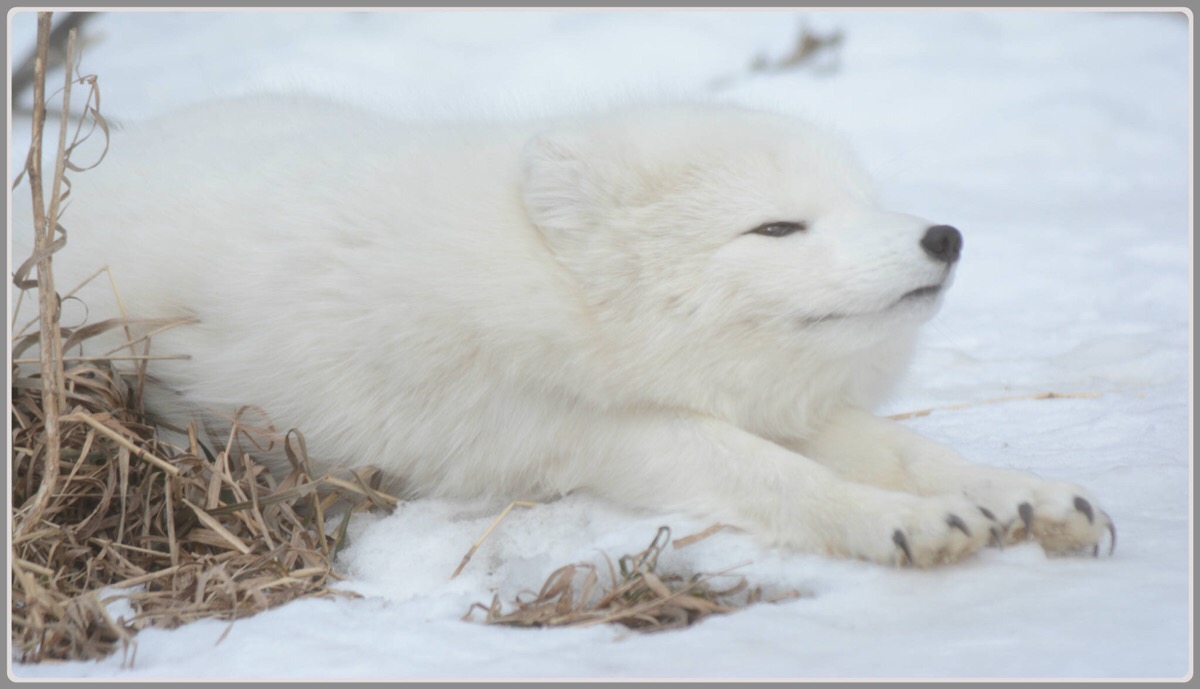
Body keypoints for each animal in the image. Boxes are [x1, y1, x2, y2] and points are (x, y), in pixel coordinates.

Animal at [11, 96, 1113, 566]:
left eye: (860, 203)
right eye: (777, 228)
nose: (944, 235)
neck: (563, 284)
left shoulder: (761, 397)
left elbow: (911, 450)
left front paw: (1025, 495)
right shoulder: (583, 430)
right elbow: (772, 474)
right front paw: (900, 523)